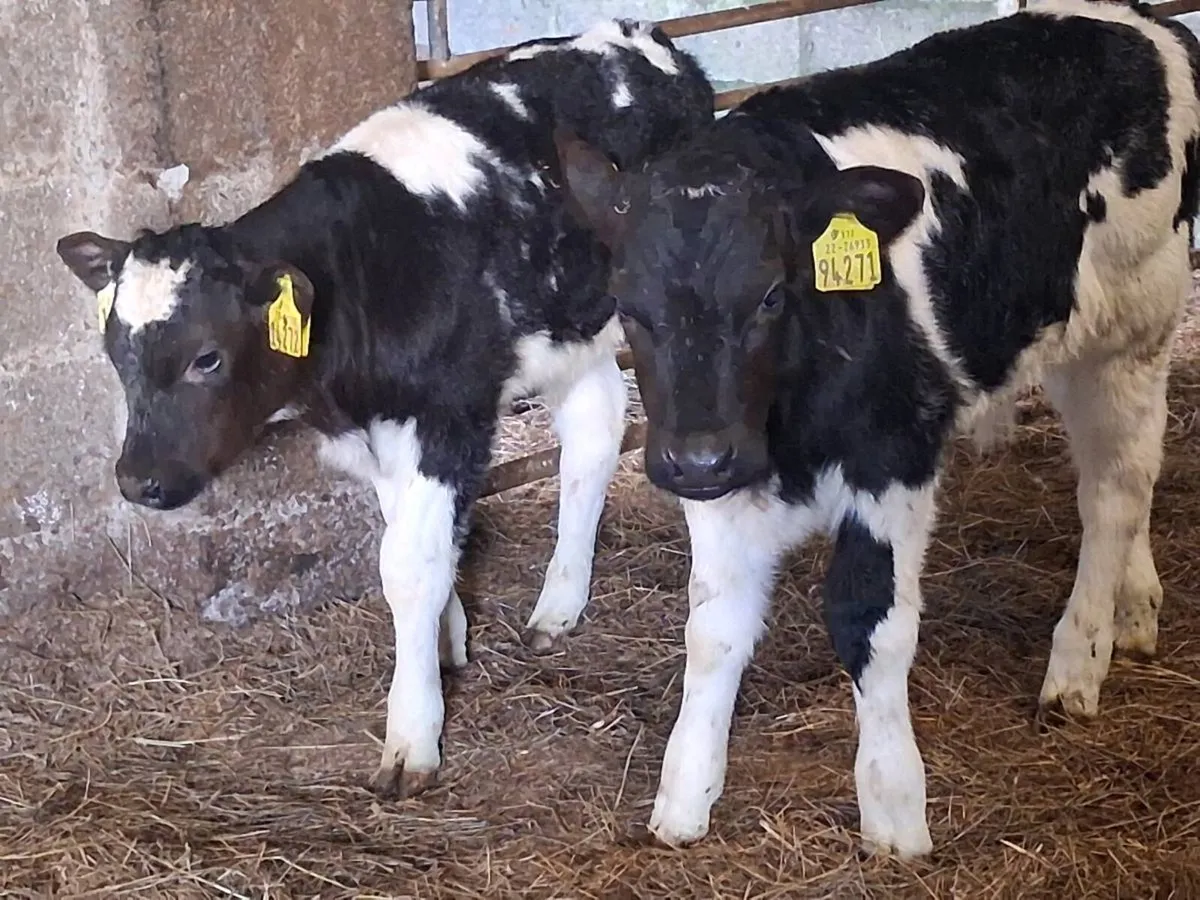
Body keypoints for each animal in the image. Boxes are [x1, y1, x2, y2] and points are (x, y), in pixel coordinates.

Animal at [54, 20, 714, 798]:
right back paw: (558, 603)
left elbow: (405, 564)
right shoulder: (379, 427)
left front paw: (412, 730)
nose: (138, 481)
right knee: (594, 431)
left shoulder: (447, 416)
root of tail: (637, 34)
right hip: (567, 332)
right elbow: (417, 540)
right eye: (114, 350)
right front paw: (445, 638)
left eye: (206, 358)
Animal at [554, 0, 1200, 858]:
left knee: (1115, 492)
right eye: (629, 305)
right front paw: (685, 793)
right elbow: (712, 626)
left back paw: (1077, 661)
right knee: (1132, 467)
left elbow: (870, 619)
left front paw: (894, 806)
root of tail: (1138, 21)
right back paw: (1135, 607)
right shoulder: (724, 466)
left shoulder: (894, 453)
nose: (696, 460)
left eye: (770, 295)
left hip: (1134, 327)